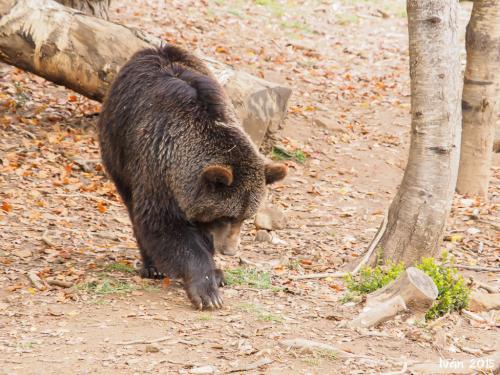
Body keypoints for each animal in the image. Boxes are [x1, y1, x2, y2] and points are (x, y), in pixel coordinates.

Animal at [98, 44, 288, 310]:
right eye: (228, 216)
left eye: (246, 217)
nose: (230, 250)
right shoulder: (156, 168)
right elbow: (163, 226)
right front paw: (207, 291)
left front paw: (216, 273)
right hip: (118, 146)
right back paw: (152, 266)